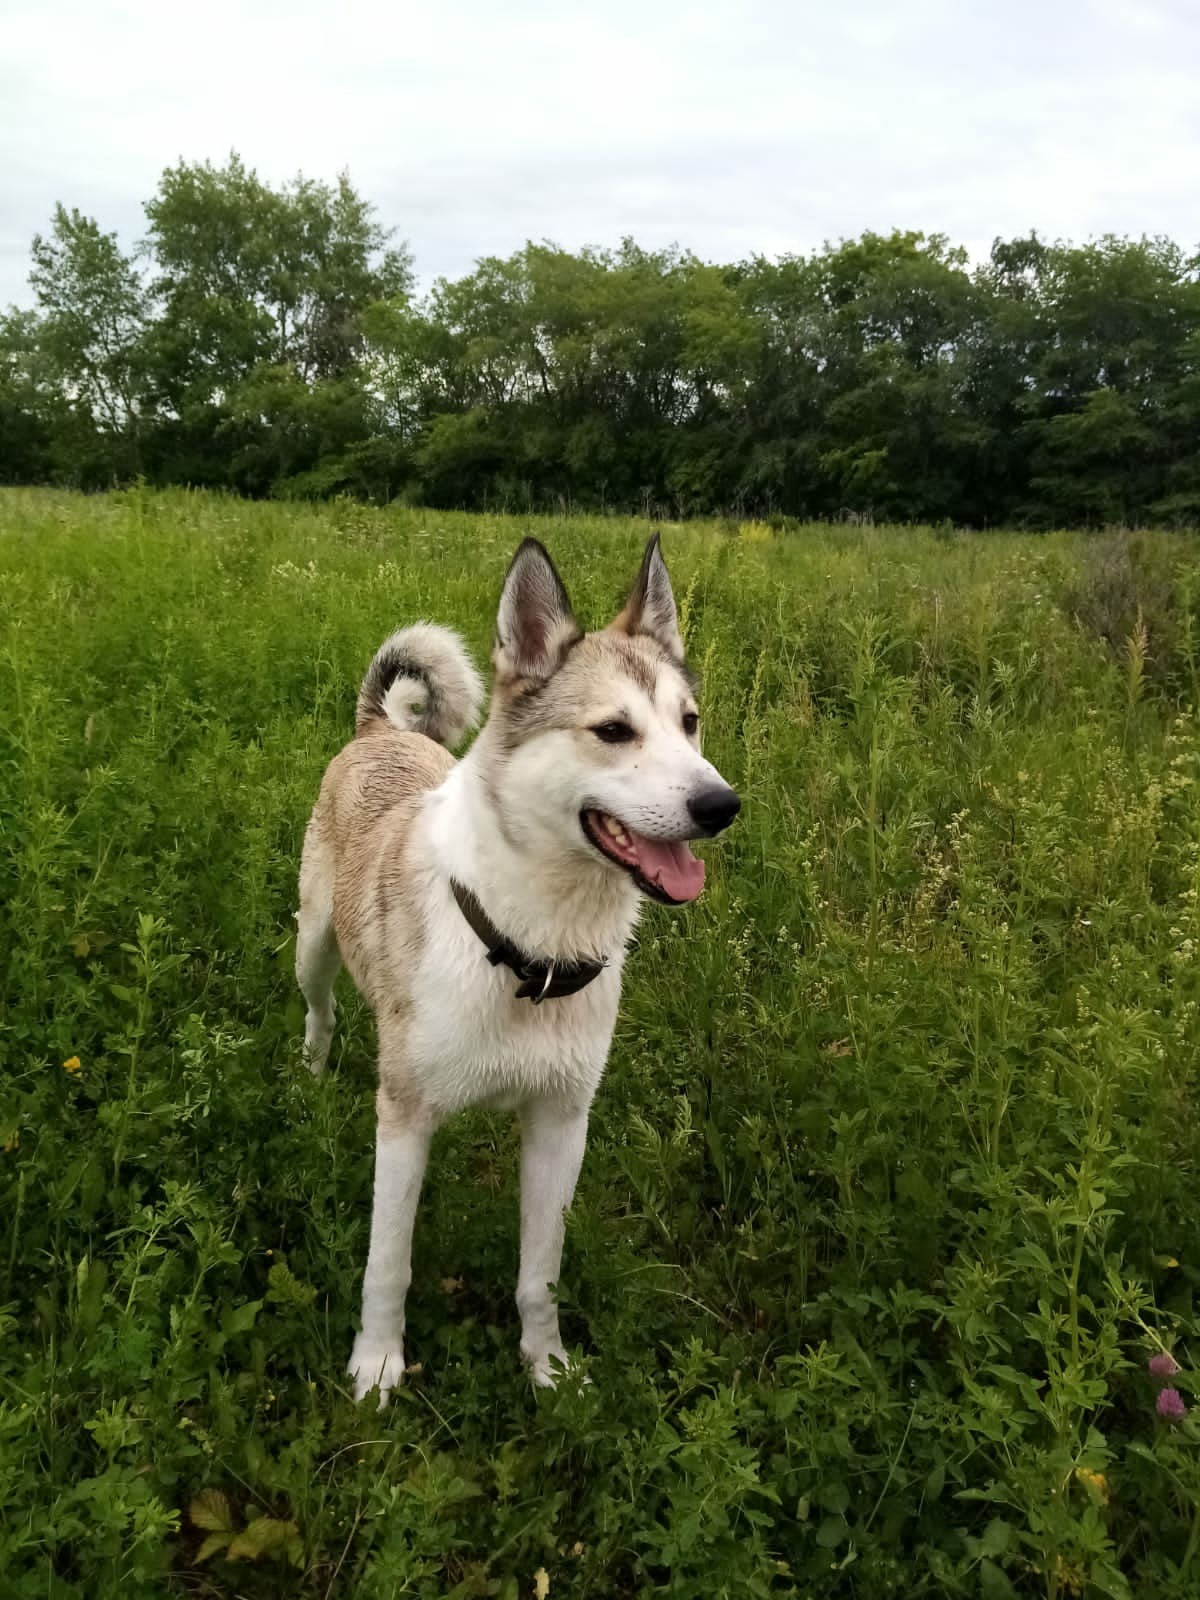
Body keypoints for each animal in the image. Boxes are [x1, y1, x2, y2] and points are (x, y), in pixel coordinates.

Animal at [294, 531, 739, 1395]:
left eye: (690, 723)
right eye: (613, 730)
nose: (722, 806)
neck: (532, 952)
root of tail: (380, 729)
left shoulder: (562, 1124)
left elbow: (542, 1273)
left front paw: (549, 1369)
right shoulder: (403, 1121)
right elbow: (387, 1265)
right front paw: (377, 1366)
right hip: (312, 946)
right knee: (321, 1012)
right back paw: (313, 1073)